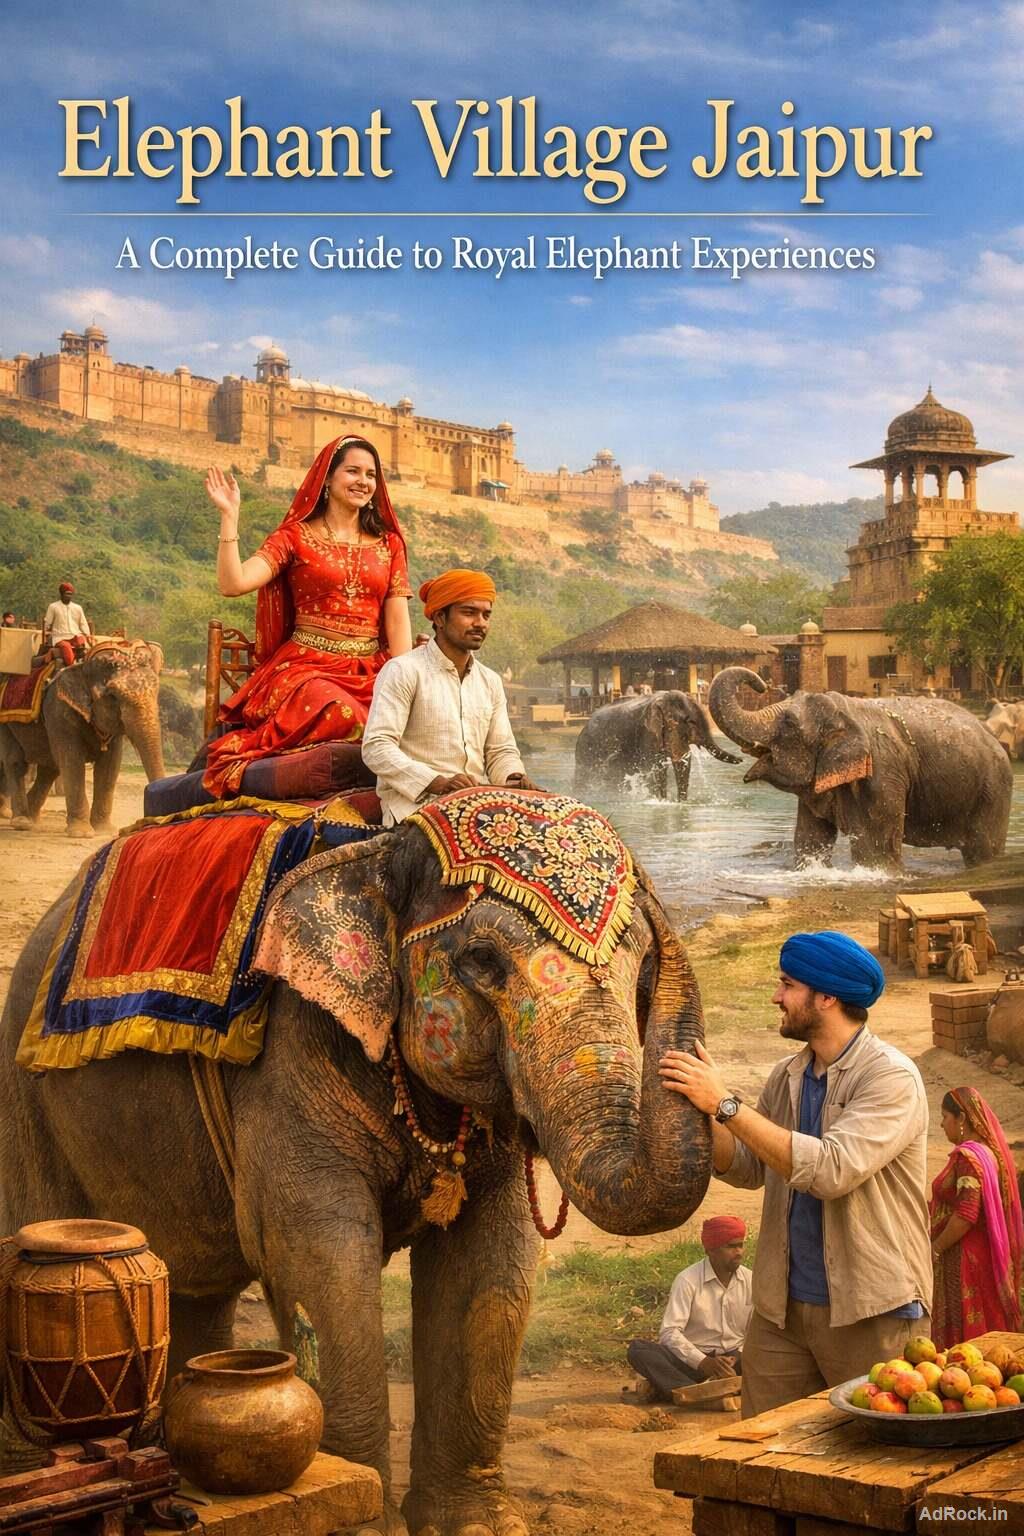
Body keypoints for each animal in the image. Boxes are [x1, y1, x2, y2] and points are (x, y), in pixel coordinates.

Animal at [0, 641, 165, 837]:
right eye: (113, 696)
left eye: (156, 691)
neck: (83, 664)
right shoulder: (59, 709)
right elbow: (72, 760)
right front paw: (82, 833)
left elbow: (110, 764)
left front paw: (104, 831)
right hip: (6, 723)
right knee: (16, 762)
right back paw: (21, 821)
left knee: (49, 768)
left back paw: (32, 819)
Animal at [0, 792, 710, 1536]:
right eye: (482, 959)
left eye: (641, 965)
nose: (665, 926)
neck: (384, 850)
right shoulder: (290, 1048)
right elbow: (313, 1249)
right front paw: (359, 1515)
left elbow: (491, 1259)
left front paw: (473, 1525)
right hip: (25, 1085)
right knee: (43, 1220)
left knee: (196, 1286)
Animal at [574, 690, 740, 799]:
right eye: (690, 722)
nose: (742, 759)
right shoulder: (648, 734)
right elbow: (658, 767)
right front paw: (661, 801)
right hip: (586, 750)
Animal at [708, 667, 1013, 871]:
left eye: (791, 723)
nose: (762, 684)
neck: (845, 711)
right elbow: (811, 837)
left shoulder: (882, 775)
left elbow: (875, 848)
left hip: (993, 791)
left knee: (983, 849)